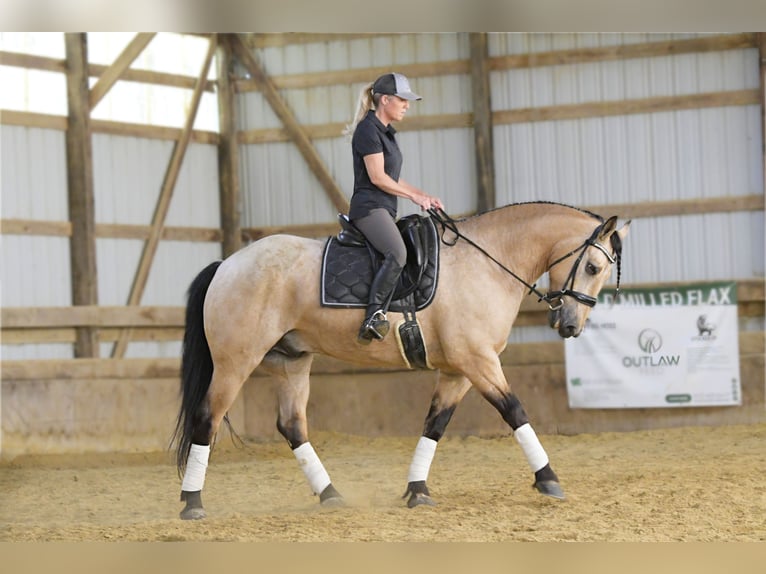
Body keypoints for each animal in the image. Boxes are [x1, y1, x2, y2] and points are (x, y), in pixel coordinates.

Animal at [172, 204, 632, 520]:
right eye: (593, 266)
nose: (570, 325)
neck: (487, 263)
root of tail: (227, 264)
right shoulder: (478, 361)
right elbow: (515, 411)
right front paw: (548, 479)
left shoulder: (458, 370)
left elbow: (435, 424)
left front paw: (417, 490)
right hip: (236, 362)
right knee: (207, 417)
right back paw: (192, 503)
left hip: (292, 361)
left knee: (291, 425)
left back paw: (331, 495)